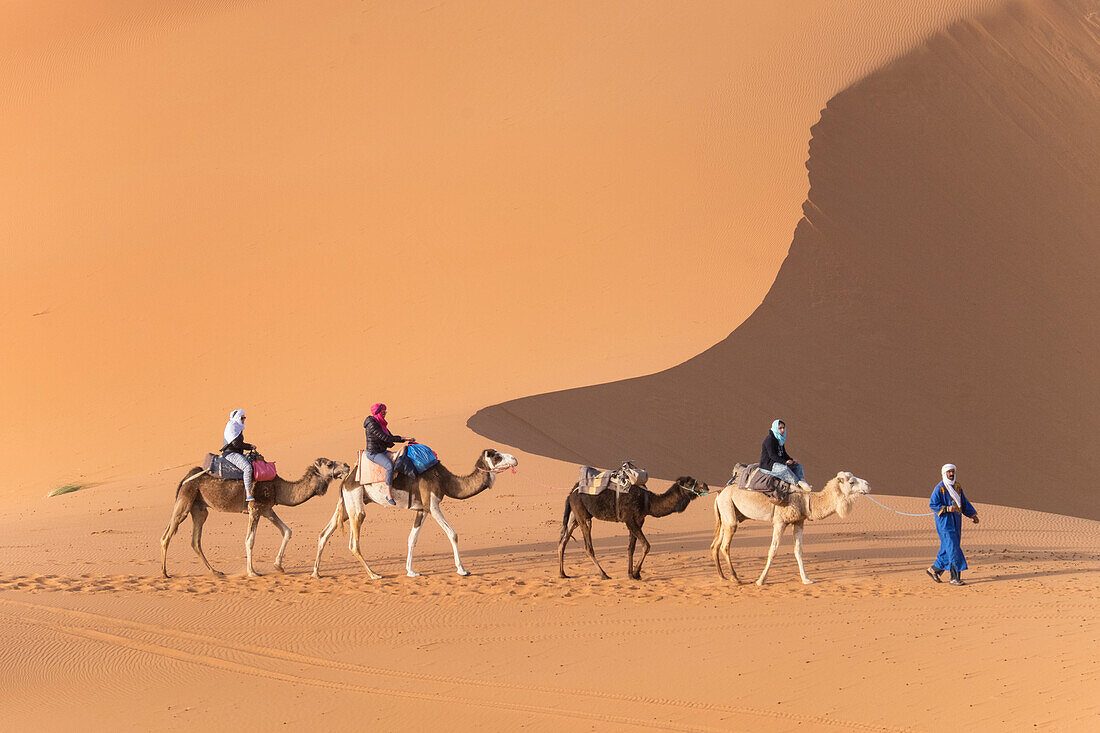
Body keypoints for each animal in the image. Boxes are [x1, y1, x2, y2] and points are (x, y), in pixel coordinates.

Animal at [160, 457, 350, 578]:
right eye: (329, 463)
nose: (347, 466)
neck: (278, 487)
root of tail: (185, 477)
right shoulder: (255, 508)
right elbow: (250, 540)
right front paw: (252, 572)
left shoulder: (267, 509)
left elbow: (287, 531)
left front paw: (278, 566)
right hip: (185, 500)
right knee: (166, 535)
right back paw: (164, 573)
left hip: (199, 509)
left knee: (195, 540)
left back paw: (216, 572)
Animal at [311, 448, 519, 578]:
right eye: (496, 456)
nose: (515, 458)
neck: (444, 479)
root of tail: (346, 479)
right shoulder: (433, 505)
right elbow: (452, 533)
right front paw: (462, 570)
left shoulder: (422, 509)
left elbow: (412, 539)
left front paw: (411, 571)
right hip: (356, 503)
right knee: (353, 542)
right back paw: (374, 575)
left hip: (348, 504)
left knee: (324, 532)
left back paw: (316, 573)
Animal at [558, 476, 710, 580]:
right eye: (689, 482)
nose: (706, 485)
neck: (648, 501)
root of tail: (571, 493)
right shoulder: (629, 519)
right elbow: (646, 545)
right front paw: (637, 573)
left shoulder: (639, 520)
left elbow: (631, 548)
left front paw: (631, 574)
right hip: (583, 515)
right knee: (587, 546)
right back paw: (604, 574)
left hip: (574, 516)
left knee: (563, 542)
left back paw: (562, 573)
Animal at [710, 469, 870, 585]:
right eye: (851, 482)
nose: (868, 484)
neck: (806, 500)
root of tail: (719, 493)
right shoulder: (780, 522)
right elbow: (773, 551)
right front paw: (761, 580)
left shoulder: (799, 522)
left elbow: (798, 550)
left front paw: (806, 579)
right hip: (729, 510)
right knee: (724, 545)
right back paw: (735, 578)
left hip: (726, 515)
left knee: (715, 544)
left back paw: (722, 577)